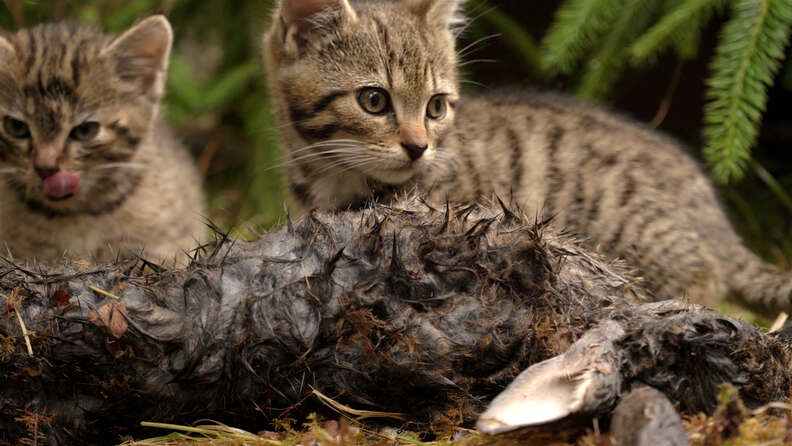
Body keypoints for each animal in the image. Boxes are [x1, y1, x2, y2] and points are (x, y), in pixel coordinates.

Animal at [264, 0, 792, 312]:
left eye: (436, 107)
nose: (418, 147)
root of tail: (712, 213)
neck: (332, 176)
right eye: (373, 100)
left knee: (704, 272)